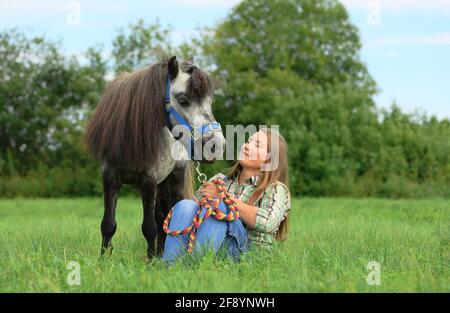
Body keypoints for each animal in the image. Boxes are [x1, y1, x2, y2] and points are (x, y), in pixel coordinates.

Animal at [83, 56, 225, 258]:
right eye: (183, 100)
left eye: (210, 101)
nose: (216, 145)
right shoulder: (110, 179)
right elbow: (108, 224)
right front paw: (103, 259)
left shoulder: (148, 181)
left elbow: (148, 227)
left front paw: (150, 262)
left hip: (173, 179)